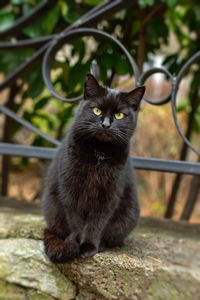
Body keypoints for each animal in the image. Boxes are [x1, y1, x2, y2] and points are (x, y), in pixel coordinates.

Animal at [41, 73, 145, 262]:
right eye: (97, 110)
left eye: (119, 115)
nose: (106, 125)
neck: (99, 154)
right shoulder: (71, 190)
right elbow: (76, 220)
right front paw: (75, 242)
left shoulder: (108, 195)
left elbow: (96, 222)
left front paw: (88, 246)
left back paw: (101, 245)